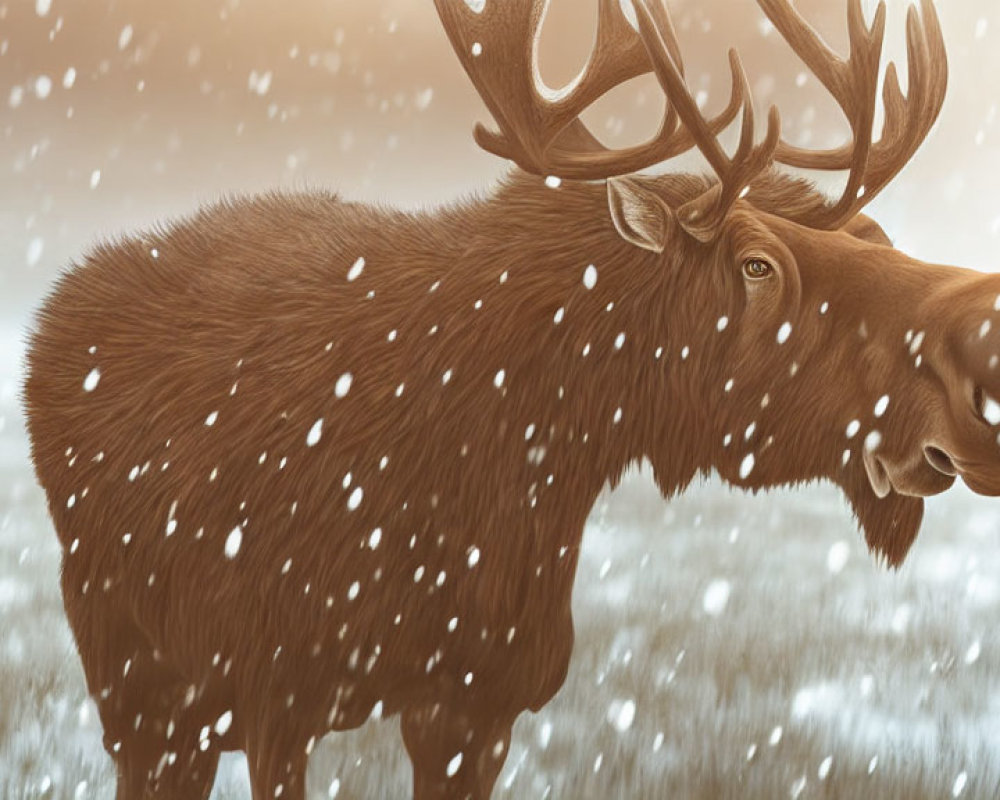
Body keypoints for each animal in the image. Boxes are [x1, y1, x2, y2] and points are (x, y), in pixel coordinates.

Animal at [19, 0, 996, 796]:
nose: (972, 382)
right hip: (133, 680)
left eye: (873, 236)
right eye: (756, 264)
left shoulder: (481, 702)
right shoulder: (273, 691)